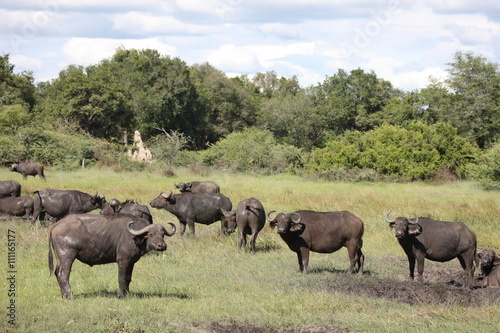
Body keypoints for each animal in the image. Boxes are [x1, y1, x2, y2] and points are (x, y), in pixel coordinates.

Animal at [48, 213, 177, 298]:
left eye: (163, 234)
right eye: (150, 234)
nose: (162, 246)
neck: (135, 237)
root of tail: (57, 225)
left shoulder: (131, 261)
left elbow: (128, 278)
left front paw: (126, 294)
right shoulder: (123, 260)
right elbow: (122, 277)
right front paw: (120, 295)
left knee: (57, 273)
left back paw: (64, 295)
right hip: (67, 256)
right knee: (63, 274)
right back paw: (70, 295)